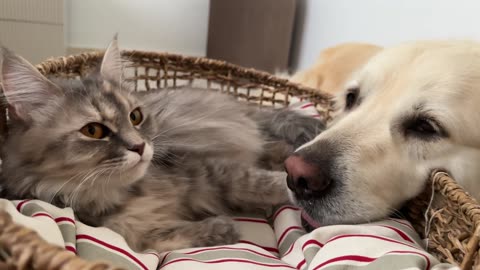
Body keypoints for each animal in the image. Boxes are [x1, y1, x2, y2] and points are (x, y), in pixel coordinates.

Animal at [0, 37, 324, 251]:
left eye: (135, 116)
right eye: (93, 130)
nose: (140, 147)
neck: (118, 194)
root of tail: (243, 107)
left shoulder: (210, 171)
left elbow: (263, 183)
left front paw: (296, 189)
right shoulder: (131, 235)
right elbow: (164, 239)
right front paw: (218, 229)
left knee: (276, 148)